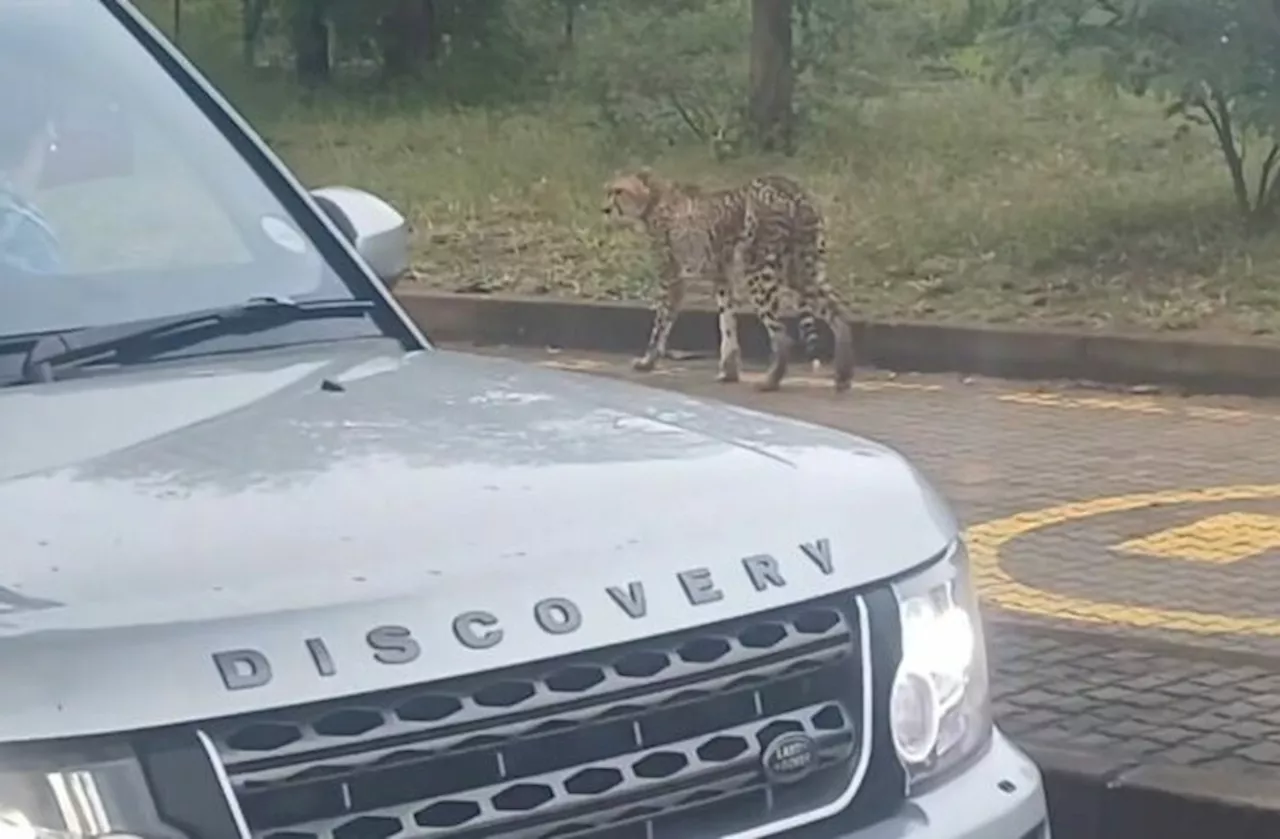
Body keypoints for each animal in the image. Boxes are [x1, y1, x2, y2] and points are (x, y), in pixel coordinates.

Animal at [601, 169, 860, 394]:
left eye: (619, 191)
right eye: (609, 191)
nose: (605, 209)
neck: (654, 198)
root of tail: (787, 185)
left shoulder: (672, 279)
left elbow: (660, 324)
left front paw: (647, 361)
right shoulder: (722, 278)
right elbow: (727, 325)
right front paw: (730, 372)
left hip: (758, 274)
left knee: (783, 335)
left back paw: (771, 381)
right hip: (801, 271)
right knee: (838, 315)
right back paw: (843, 376)